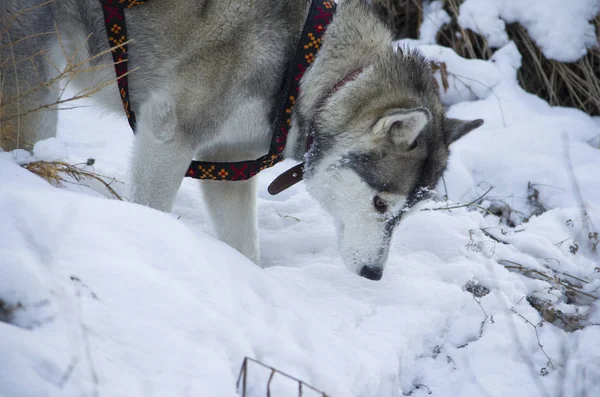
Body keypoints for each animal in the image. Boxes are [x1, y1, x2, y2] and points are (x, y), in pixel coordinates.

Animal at [1, 0, 482, 280]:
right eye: (381, 204)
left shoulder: (228, 160)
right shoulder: (167, 131)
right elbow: (151, 208)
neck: (308, 63)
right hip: (34, 87)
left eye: (407, 214)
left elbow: (244, 248)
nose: (373, 274)